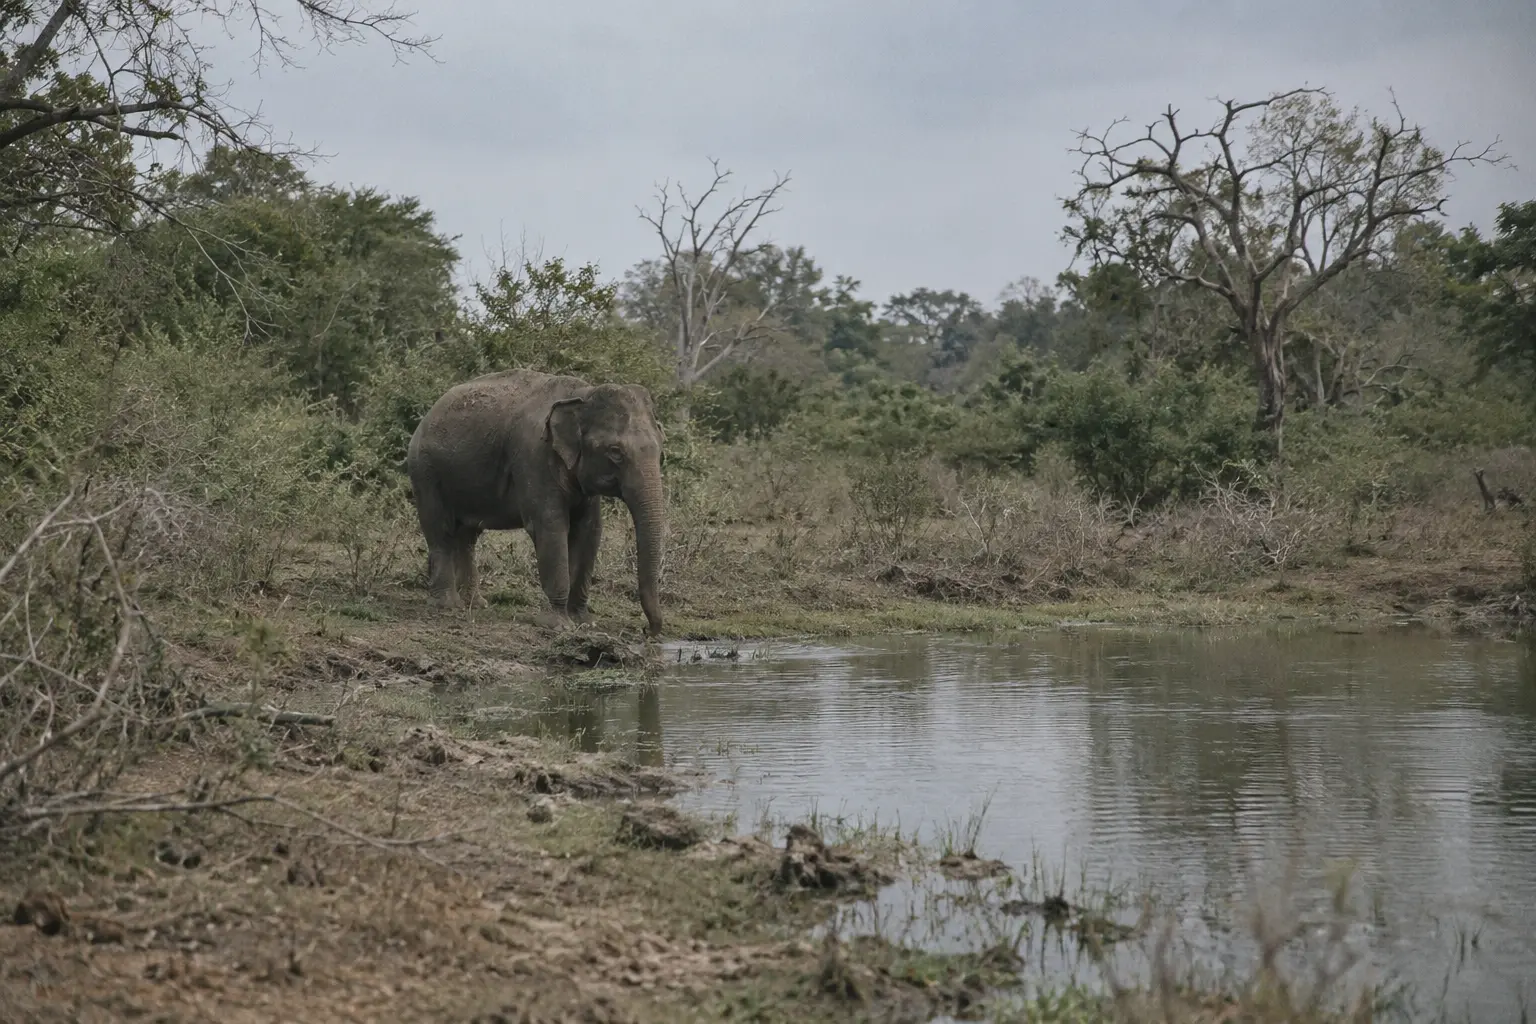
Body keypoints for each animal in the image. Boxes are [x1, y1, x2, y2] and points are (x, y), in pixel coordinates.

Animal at [405, 369, 666, 635]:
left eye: (660, 449)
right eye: (615, 452)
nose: (647, 631)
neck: (582, 394)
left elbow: (590, 530)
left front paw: (584, 621)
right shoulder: (533, 457)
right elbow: (550, 526)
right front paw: (558, 626)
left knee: (467, 537)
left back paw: (476, 604)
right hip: (425, 472)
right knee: (440, 530)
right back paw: (447, 605)